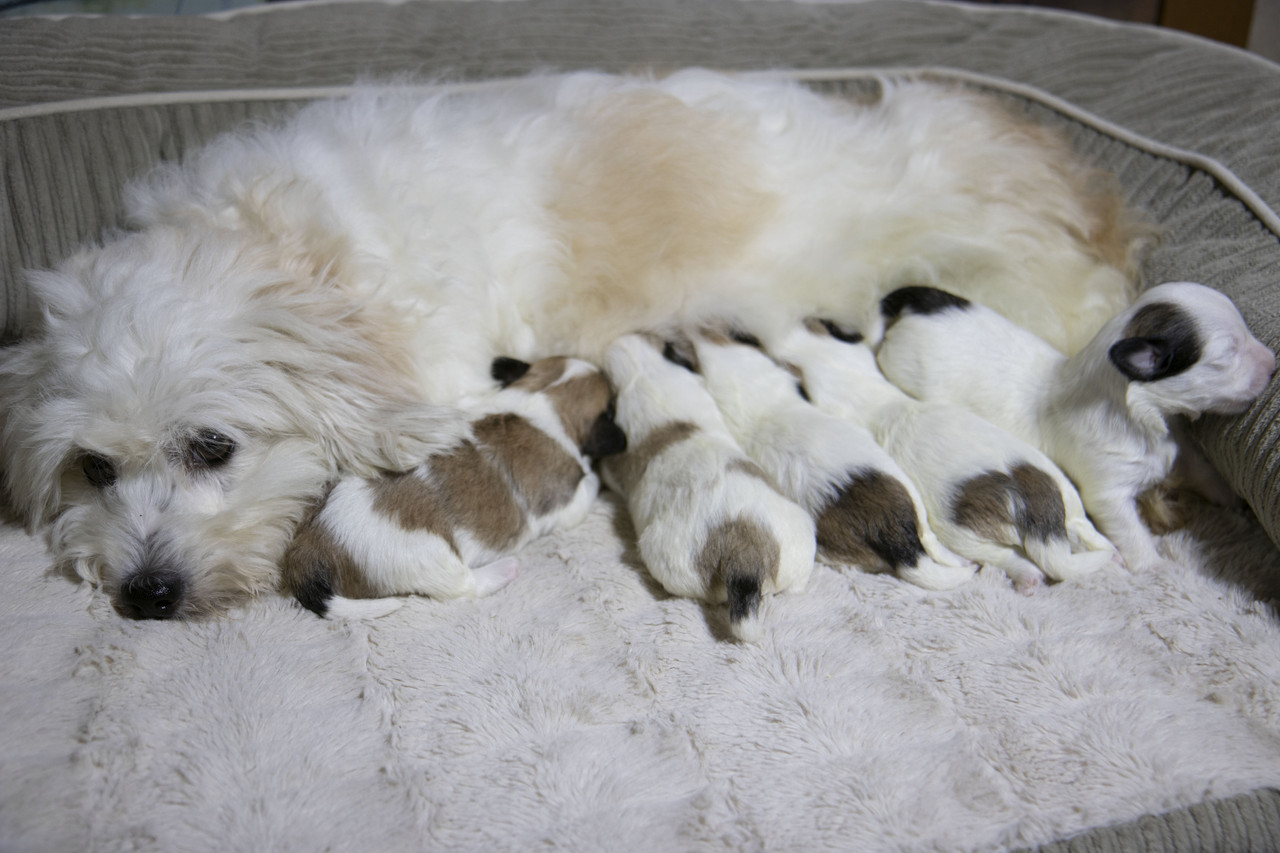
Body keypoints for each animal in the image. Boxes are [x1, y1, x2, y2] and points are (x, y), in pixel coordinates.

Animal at [280, 353, 624, 617]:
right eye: (612, 408)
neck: (541, 395)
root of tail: (311, 547)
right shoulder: (565, 505)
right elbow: (588, 484)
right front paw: (596, 472)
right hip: (429, 558)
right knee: (463, 587)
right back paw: (503, 571)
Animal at [768, 315, 1121, 589]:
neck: (875, 396)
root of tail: (1035, 505)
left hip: (963, 532)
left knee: (1007, 556)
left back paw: (1026, 576)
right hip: (1067, 495)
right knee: (1086, 530)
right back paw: (1112, 553)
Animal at [875, 280, 1274, 571]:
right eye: (1228, 355)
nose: (1273, 364)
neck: (1144, 420)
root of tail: (911, 309)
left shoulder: (1180, 452)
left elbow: (1205, 473)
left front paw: (1235, 501)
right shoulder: (1108, 495)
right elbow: (1134, 534)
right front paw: (1154, 568)